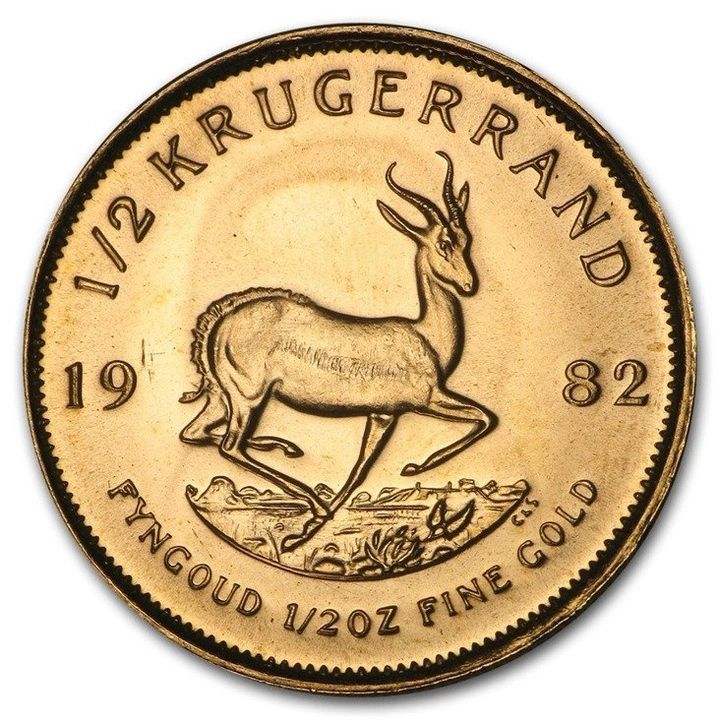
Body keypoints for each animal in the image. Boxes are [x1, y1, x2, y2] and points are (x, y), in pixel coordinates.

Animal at [179, 151, 497, 550]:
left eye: (466, 239)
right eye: (443, 243)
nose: (471, 285)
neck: (427, 338)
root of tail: (221, 321)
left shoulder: (383, 415)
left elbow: (359, 471)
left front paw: (311, 528)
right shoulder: (426, 400)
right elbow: (484, 418)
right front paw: (416, 467)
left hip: (223, 399)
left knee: (194, 433)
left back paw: (285, 450)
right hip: (248, 398)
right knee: (229, 445)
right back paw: (308, 495)